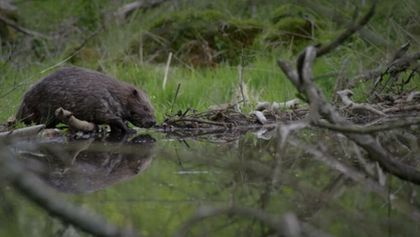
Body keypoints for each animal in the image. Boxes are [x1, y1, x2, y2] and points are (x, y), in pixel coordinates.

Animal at [14, 67, 157, 132]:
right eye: (145, 108)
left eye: (152, 108)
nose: (153, 122)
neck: (114, 93)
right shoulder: (102, 103)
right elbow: (112, 118)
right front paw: (129, 129)